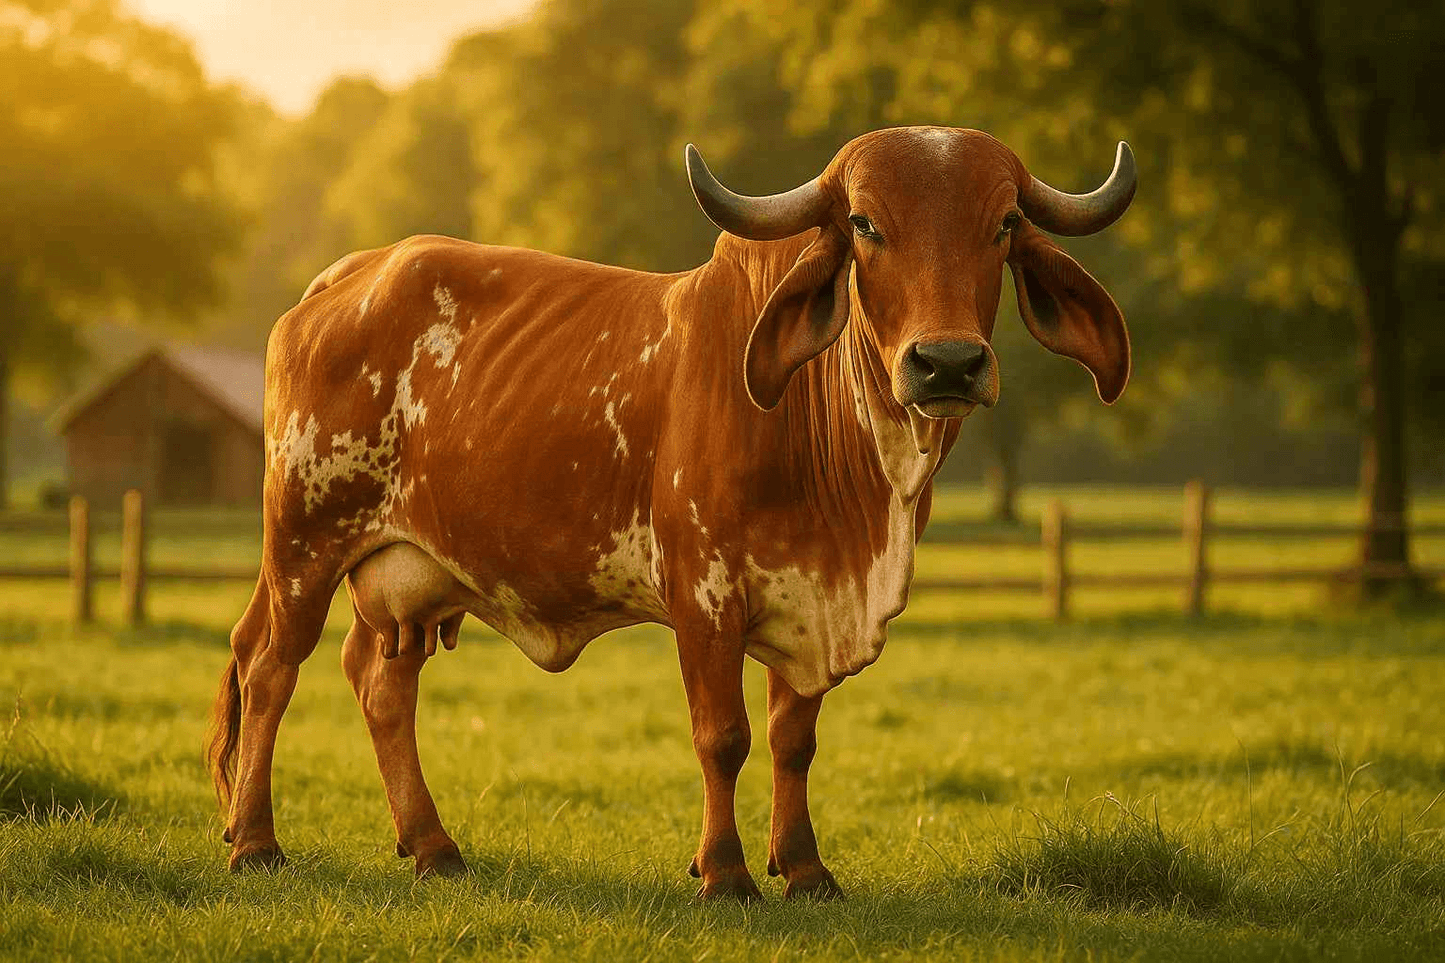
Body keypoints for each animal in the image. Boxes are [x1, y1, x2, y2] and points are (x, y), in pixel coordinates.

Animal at [208, 126, 1135, 900]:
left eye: (1004, 222)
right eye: (865, 224)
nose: (946, 363)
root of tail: (347, 276)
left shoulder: (808, 597)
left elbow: (793, 740)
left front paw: (805, 869)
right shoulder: (704, 594)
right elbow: (723, 734)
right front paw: (724, 872)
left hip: (406, 576)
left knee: (379, 684)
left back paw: (432, 846)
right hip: (304, 540)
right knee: (269, 665)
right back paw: (255, 842)